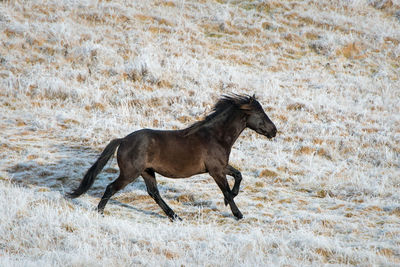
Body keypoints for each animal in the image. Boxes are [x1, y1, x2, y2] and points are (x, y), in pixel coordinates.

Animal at [67, 95, 276, 221]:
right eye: (260, 113)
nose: (274, 131)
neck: (214, 136)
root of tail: (123, 140)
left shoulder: (221, 167)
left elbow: (238, 176)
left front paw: (231, 200)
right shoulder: (215, 170)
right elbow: (226, 189)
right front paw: (237, 213)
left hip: (147, 172)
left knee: (154, 193)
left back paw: (175, 216)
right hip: (130, 173)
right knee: (111, 188)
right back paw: (99, 212)